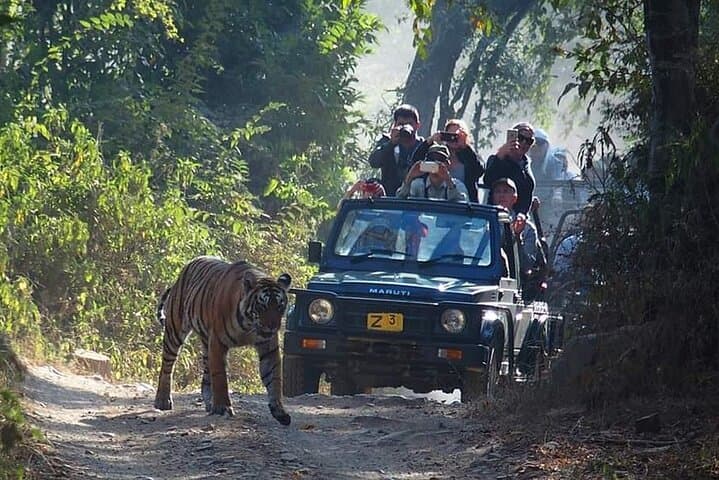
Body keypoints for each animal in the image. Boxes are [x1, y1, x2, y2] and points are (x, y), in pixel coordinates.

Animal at [153, 256, 292, 425]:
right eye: (262, 306)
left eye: (280, 306)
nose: (273, 327)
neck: (249, 325)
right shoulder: (218, 342)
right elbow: (220, 378)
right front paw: (224, 408)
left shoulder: (269, 348)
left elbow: (275, 378)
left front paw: (279, 411)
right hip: (175, 330)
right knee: (167, 366)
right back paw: (162, 401)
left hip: (206, 341)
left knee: (206, 374)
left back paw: (209, 403)